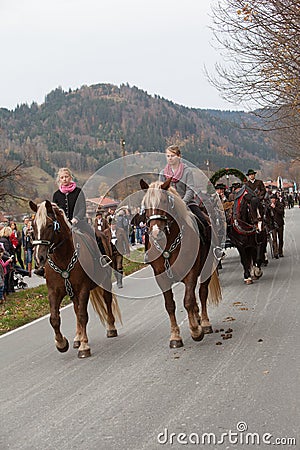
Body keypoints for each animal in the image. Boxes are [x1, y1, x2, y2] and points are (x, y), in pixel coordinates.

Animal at [29, 200, 120, 358]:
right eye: (33, 225)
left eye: (49, 225)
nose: (39, 257)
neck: (63, 257)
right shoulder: (54, 292)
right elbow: (54, 318)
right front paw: (61, 343)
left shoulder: (83, 289)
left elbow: (83, 315)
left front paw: (84, 346)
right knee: (76, 309)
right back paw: (77, 337)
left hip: (105, 280)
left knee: (107, 300)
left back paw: (110, 328)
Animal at [139, 179, 221, 348]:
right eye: (145, 205)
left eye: (164, 201)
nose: (156, 232)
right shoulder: (161, 277)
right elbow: (170, 305)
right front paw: (175, 336)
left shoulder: (191, 273)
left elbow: (188, 301)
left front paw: (196, 331)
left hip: (206, 270)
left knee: (202, 293)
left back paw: (204, 323)